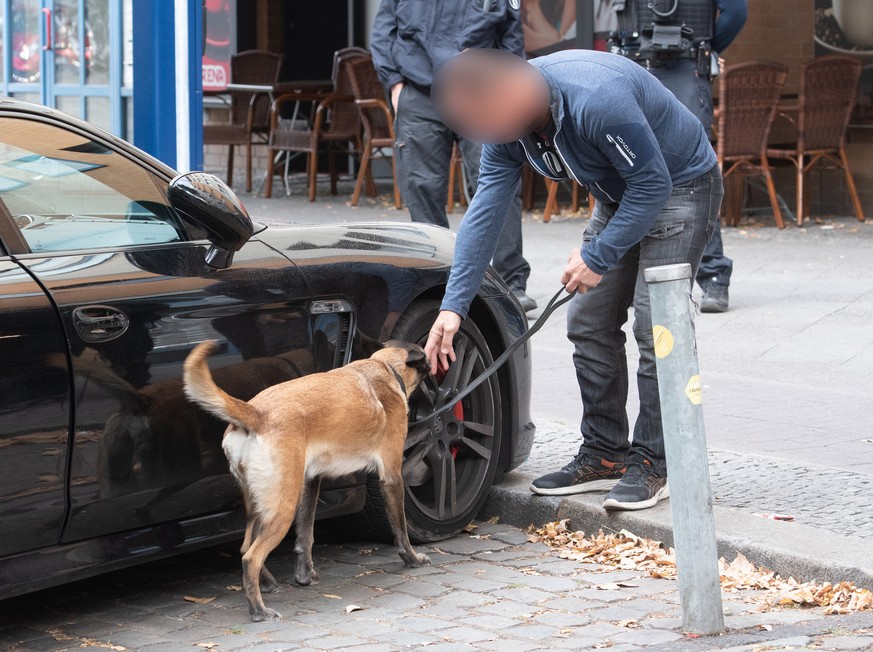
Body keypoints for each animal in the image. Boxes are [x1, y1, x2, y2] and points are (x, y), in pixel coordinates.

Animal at [181, 342, 432, 620]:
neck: (383, 367)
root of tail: (256, 413)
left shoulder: (311, 481)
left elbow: (305, 536)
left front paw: (304, 575)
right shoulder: (391, 477)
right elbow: (400, 530)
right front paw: (412, 559)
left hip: (261, 506)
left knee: (245, 547)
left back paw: (266, 585)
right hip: (282, 508)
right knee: (251, 557)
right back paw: (259, 610)